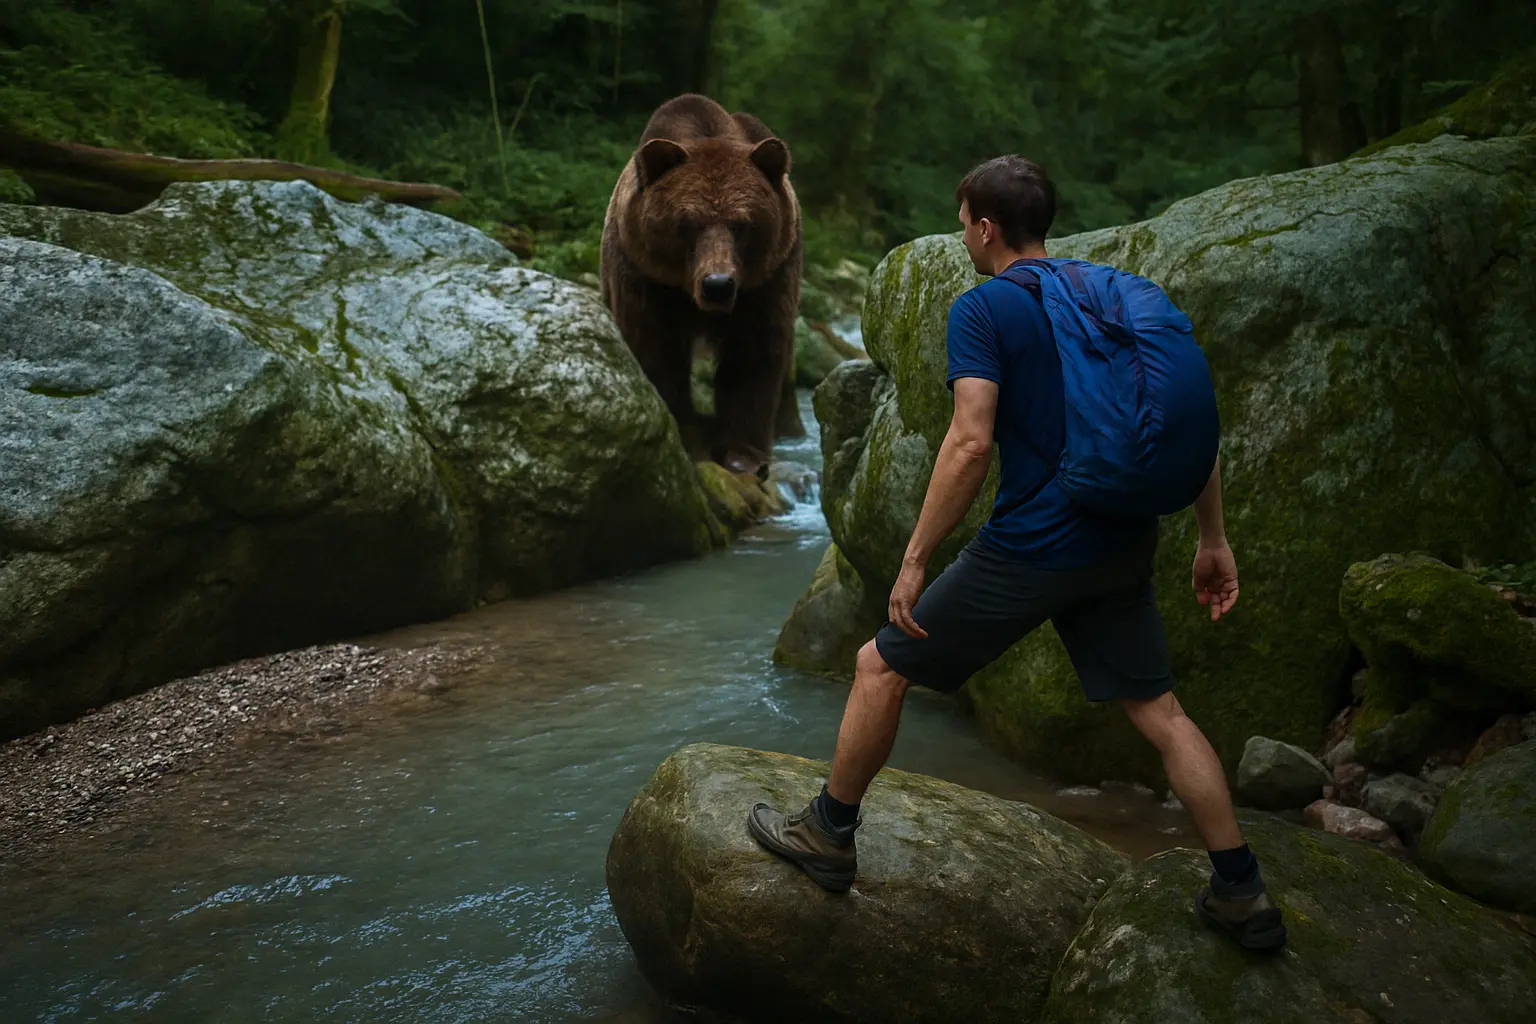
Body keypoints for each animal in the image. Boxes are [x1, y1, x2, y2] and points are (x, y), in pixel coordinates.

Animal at [600, 93, 802, 478]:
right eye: (687, 223)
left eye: (742, 224)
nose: (717, 284)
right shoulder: (645, 277)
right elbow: (656, 351)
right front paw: (680, 435)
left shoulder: (766, 284)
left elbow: (752, 356)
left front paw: (743, 455)